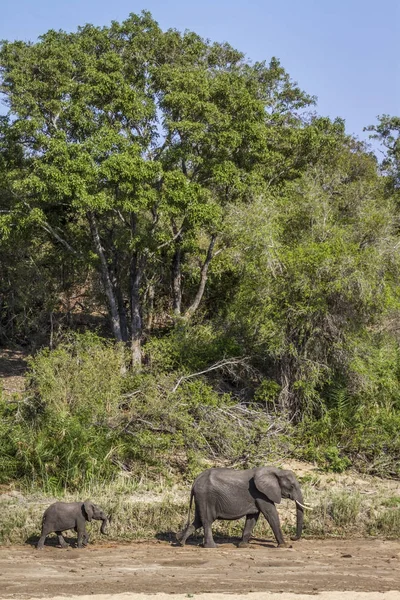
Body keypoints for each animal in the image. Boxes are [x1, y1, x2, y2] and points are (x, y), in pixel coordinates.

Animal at [177, 468, 310, 548]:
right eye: (291, 486)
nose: (292, 538)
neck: (276, 471)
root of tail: (195, 481)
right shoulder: (261, 493)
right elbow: (271, 514)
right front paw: (285, 546)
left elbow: (252, 517)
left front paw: (243, 546)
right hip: (206, 497)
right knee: (207, 521)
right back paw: (213, 547)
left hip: (201, 498)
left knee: (198, 521)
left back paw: (181, 543)